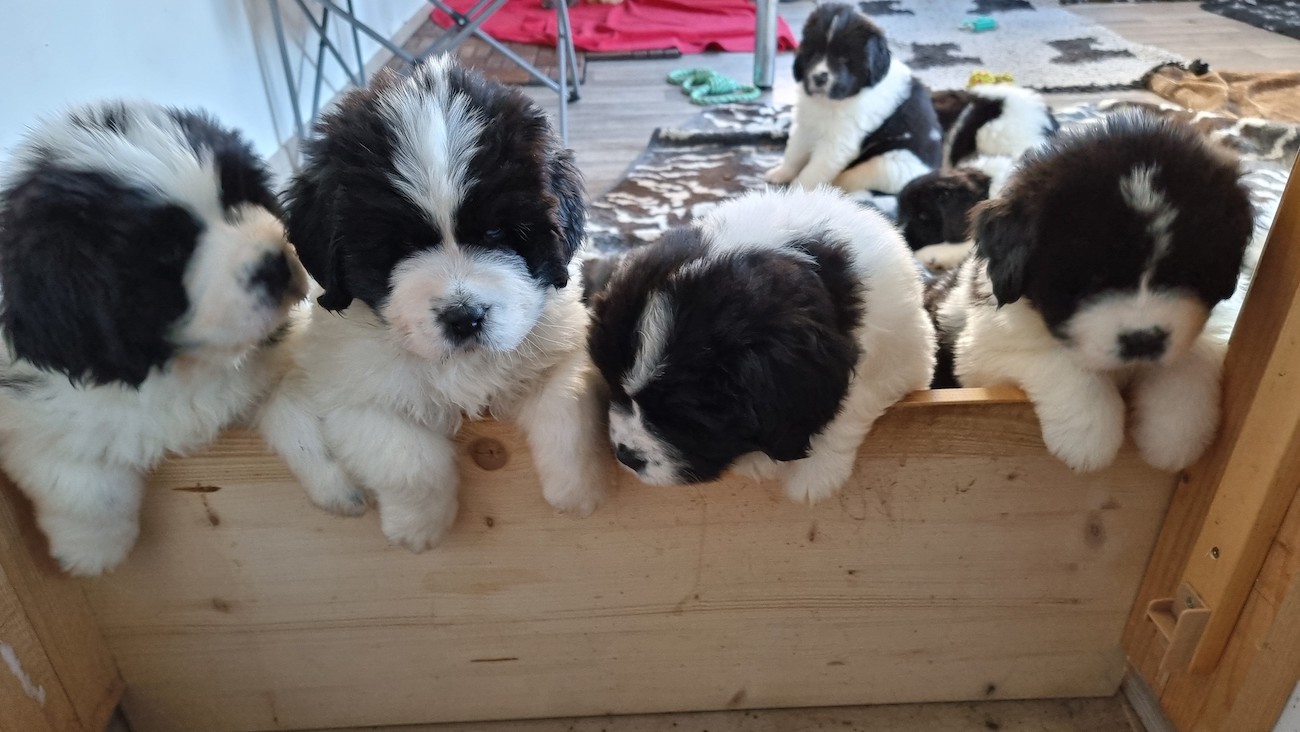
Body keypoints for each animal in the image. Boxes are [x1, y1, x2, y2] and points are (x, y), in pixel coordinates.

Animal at [0, 100, 306, 574]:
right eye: (168, 252)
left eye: (239, 196)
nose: (275, 264)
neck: (181, 366)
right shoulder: (27, 411)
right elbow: (76, 472)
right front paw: (90, 550)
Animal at [266, 58, 611, 551]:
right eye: (397, 246)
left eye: (496, 232)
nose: (465, 317)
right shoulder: (349, 391)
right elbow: (405, 458)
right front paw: (418, 529)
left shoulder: (564, 343)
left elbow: (568, 407)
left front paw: (577, 493)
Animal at [590, 187, 935, 504]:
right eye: (614, 387)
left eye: (683, 418)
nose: (625, 456)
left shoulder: (902, 350)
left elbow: (856, 397)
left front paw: (815, 475)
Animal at [764, 4, 941, 193]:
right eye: (813, 54)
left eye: (844, 59)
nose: (819, 77)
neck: (831, 102)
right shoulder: (806, 125)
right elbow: (794, 152)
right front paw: (780, 173)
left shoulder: (838, 142)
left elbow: (813, 170)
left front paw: (796, 191)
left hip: (891, 164)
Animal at [930, 111, 1253, 473]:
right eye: (1091, 279)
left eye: (1184, 271)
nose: (1143, 340)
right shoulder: (980, 350)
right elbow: (1058, 359)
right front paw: (1088, 437)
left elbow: (1190, 361)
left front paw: (1174, 438)